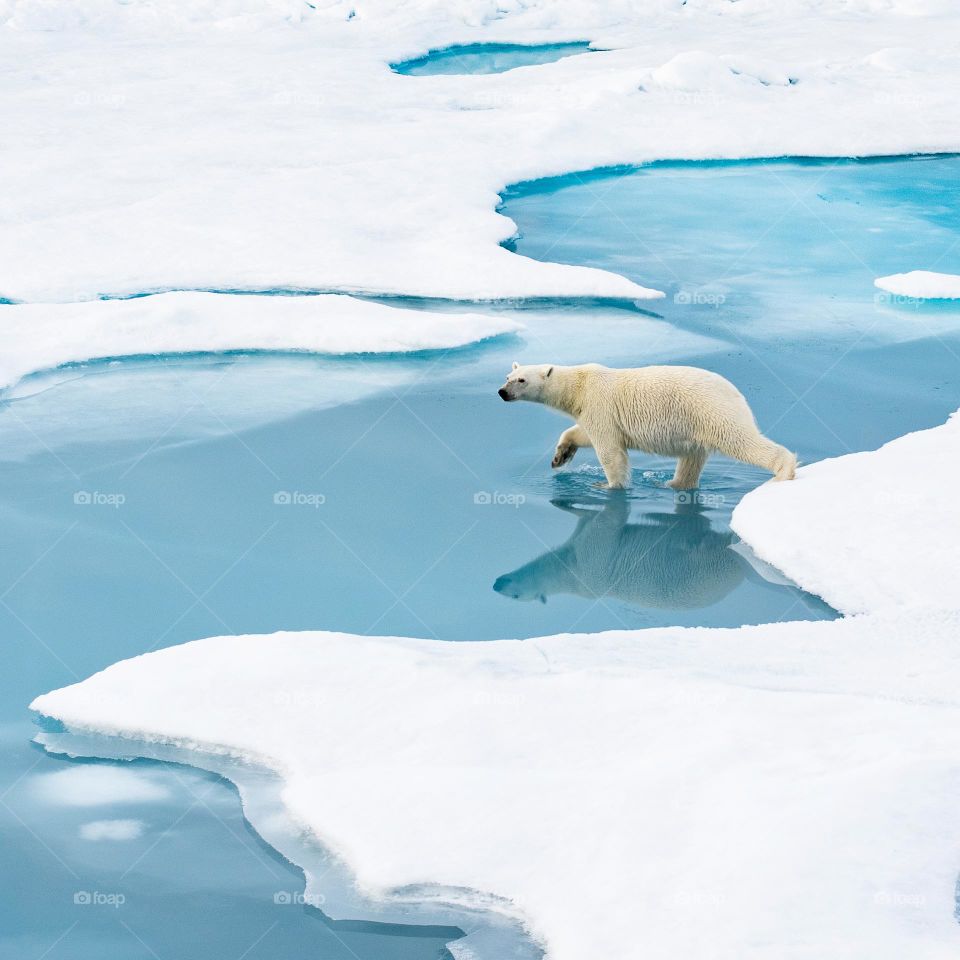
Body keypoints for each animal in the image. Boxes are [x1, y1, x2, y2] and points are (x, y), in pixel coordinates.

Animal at [496, 364, 796, 492]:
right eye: (508, 376)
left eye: (521, 380)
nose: (502, 392)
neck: (580, 385)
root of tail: (737, 394)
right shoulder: (591, 410)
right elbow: (583, 433)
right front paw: (560, 457)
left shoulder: (599, 404)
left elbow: (609, 449)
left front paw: (608, 485)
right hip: (696, 425)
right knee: (691, 459)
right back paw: (672, 483)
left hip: (712, 411)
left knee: (741, 441)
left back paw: (783, 471)